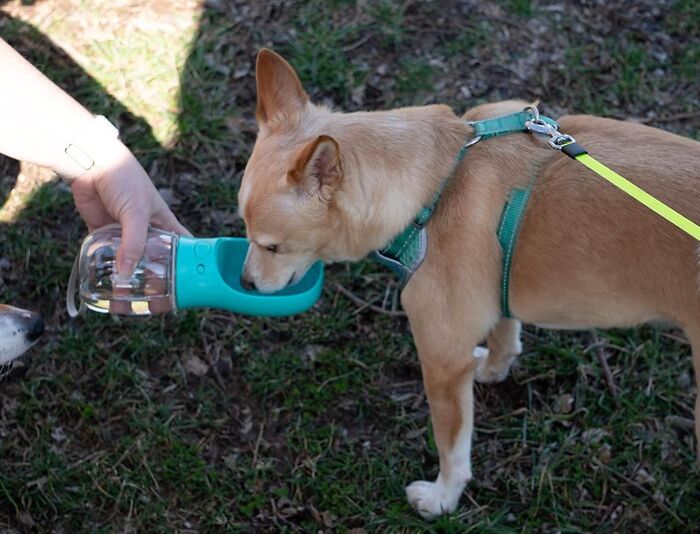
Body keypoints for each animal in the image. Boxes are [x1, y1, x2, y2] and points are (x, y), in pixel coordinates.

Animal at [241, 49, 700, 520]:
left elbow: (452, 449)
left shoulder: (441, 363)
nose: (246, 282)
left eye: (272, 246)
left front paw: (441, 499)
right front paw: (492, 369)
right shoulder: (496, 299)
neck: (435, 187)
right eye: (243, 228)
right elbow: (504, 339)